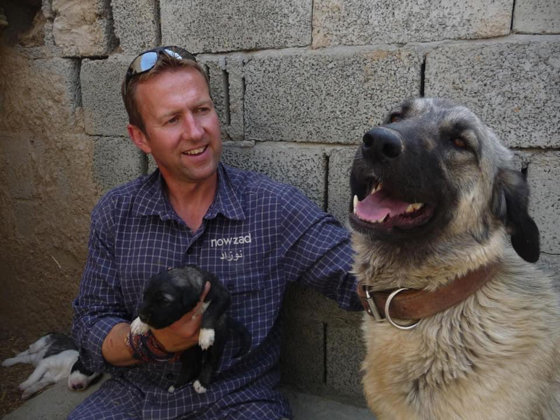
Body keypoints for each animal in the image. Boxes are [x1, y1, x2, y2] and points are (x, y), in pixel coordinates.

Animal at [131, 266, 249, 394]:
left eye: (165, 301)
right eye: (145, 296)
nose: (142, 316)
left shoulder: (222, 296)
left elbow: (210, 313)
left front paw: (205, 334)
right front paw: (139, 324)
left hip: (217, 341)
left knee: (211, 361)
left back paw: (202, 383)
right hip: (188, 352)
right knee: (191, 367)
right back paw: (177, 385)